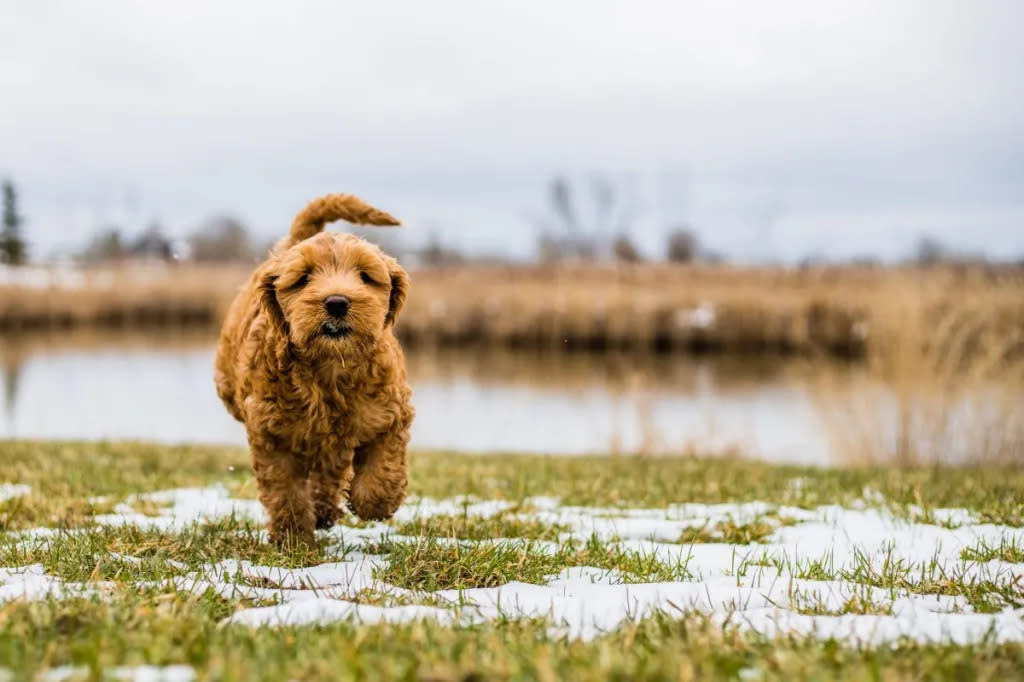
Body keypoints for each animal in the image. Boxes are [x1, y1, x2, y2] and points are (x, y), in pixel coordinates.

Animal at [215, 193, 411, 544]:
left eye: (365, 276)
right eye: (303, 278)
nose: (337, 302)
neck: (329, 367)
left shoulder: (390, 411)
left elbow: (385, 464)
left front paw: (374, 503)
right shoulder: (270, 431)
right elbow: (285, 490)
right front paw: (293, 537)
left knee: (330, 469)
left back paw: (325, 509)